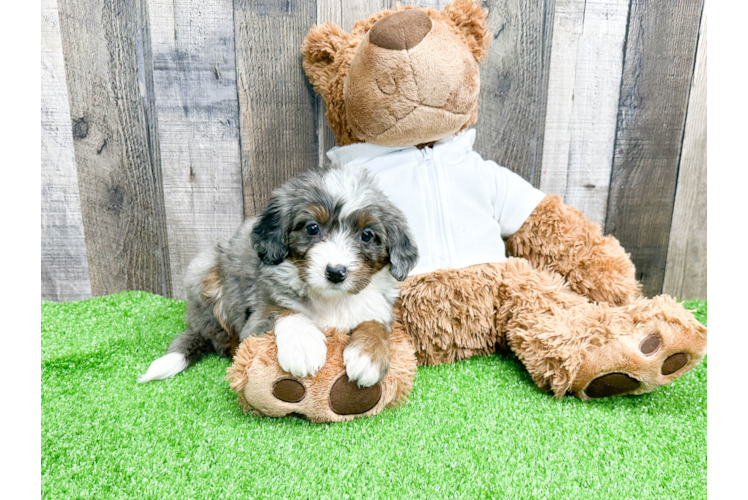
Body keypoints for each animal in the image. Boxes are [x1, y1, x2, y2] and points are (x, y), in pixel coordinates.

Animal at [137, 166, 418, 388]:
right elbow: (286, 312)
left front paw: (368, 356)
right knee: (217, 335)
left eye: (367, 235)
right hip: (204, 273)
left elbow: (374, 325)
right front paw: (303, 348)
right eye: (312, 228)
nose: (336, 272)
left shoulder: (378, 307)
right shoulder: (259, 316)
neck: (331, 300)